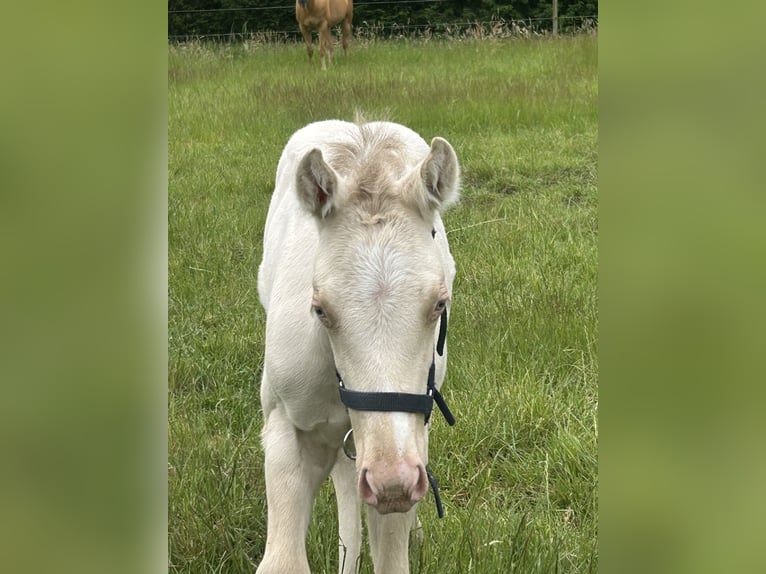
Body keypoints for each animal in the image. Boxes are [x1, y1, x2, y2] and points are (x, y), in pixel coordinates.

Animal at [255, 120, 460, 574]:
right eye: (320, 309)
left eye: (440, 304)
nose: (391, 483)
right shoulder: (286, 426)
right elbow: (283, 561)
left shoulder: (405, 441)